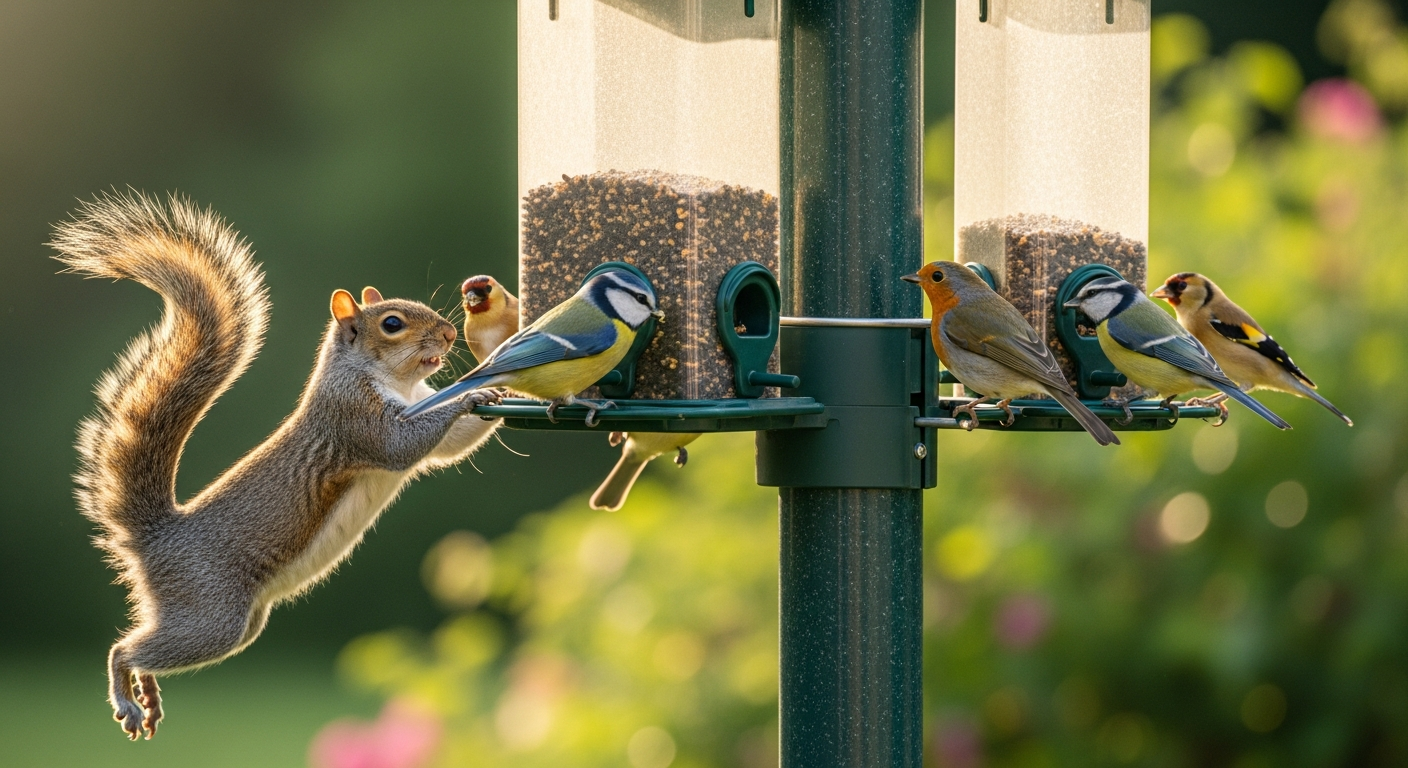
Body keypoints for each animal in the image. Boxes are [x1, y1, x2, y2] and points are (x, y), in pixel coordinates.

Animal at [51, 192, 501, 741]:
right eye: (392, 323)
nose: (450, 332)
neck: (391, 382)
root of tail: (153, 538)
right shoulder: (354, 421)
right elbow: (403, 445)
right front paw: (472, 394)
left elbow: (450, 445)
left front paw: (498, 389)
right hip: (213, 614)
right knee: (124, 648)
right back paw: (125, 694)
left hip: (234, 623)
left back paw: (149, 695)